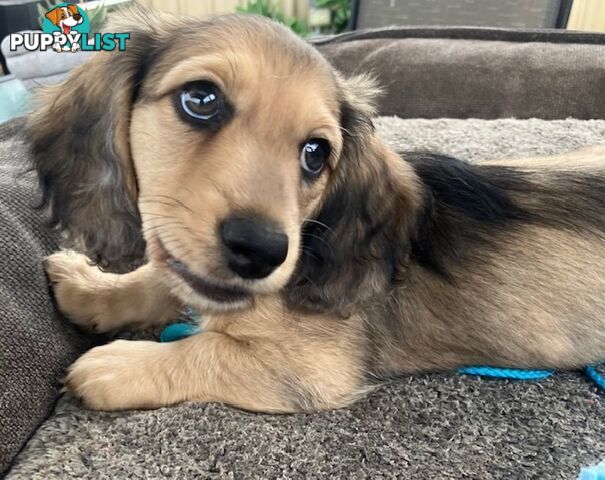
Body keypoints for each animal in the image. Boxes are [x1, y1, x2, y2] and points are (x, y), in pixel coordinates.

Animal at [29, 5, 604, 410]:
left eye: (315, 153)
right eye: (201, 100)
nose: (262, 252)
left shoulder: (311, 369)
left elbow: (205, 350)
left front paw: (116, 364)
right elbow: (158, 277)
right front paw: (91, 287)